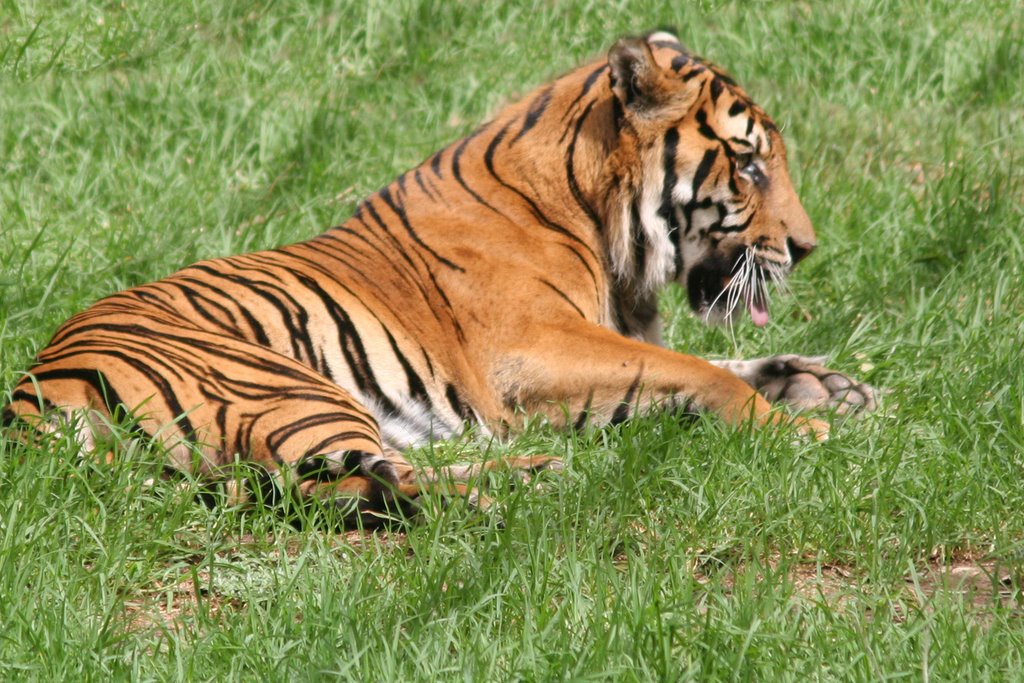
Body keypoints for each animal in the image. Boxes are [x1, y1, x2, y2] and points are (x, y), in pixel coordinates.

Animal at [4, 29, 876, 528]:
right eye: (751, 164)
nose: (806, 247)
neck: (600, 216)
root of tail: (35, 393)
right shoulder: (534, 349)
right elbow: (703, 371)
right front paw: (797, 426)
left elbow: (713, 361)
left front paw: (828, 385)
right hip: (282, 384)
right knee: (345, 485)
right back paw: (514, 486)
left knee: (356, 475)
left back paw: (524, 475)